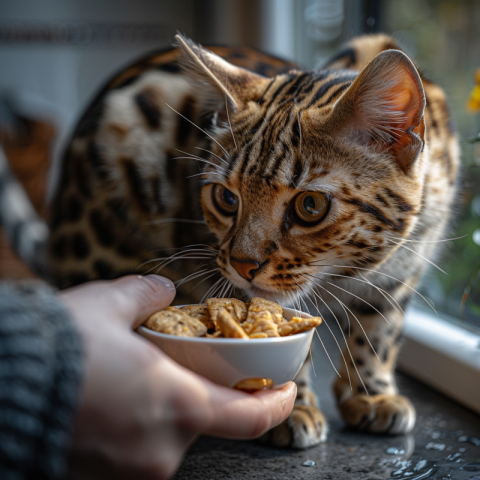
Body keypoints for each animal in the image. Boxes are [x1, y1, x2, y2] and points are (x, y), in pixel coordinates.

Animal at [40, 32, 458, 446]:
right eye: (226, 198)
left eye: (310, 205)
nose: (243, 265)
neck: (351, 270)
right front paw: (292, 406)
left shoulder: (404, 271)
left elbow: (380, 330)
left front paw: (372, 393)